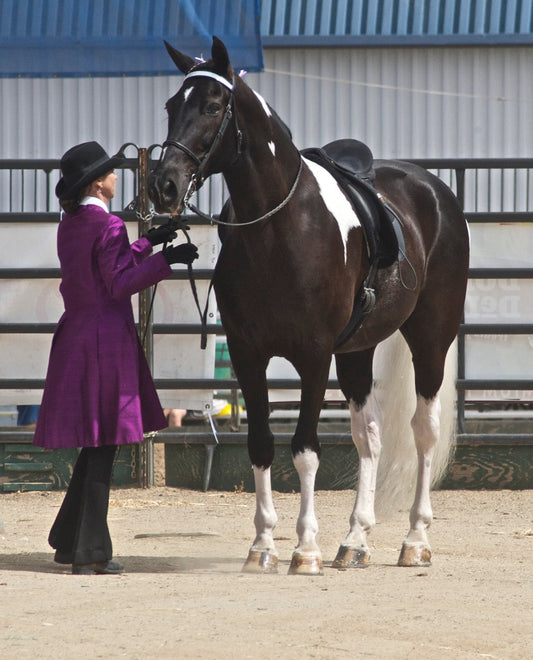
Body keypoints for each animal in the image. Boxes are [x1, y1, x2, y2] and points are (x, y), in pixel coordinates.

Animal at [149, 37, 470, 575]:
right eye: (172, 106)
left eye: (213, 106)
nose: (165, 185)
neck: (279, 229)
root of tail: (433, 189)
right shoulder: (248, 354)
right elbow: (261, 445)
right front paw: (262, 547)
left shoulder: (314, 356)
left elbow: (305, 450)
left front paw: (304, 549)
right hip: (357, 351)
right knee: (370, 435)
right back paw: (356, 540)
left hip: (431, 337)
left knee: (423, 431)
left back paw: (415, 540)